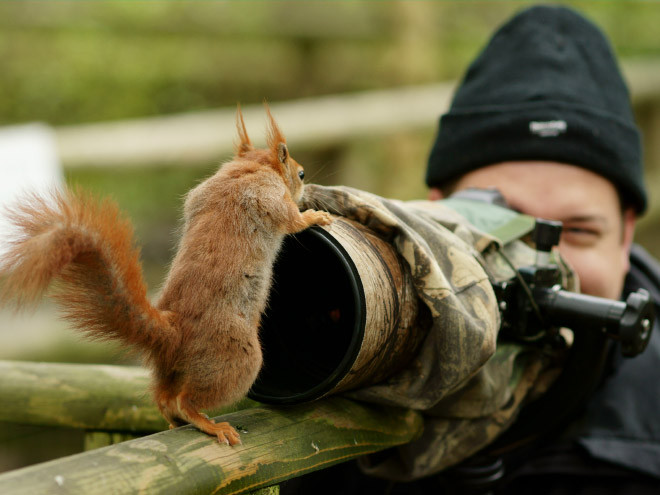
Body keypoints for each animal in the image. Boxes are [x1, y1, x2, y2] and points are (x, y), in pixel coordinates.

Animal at [0, 107, 330, 446]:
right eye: (301, 174)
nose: (306, 186)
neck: (248, 168)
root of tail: (173, 334)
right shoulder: (267, 196)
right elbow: (290, 220)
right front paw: (313, 216)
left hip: (169, 370)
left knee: (164, 398)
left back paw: (173, 419)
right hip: (238, 358)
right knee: (186, 401)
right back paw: (210, 424)